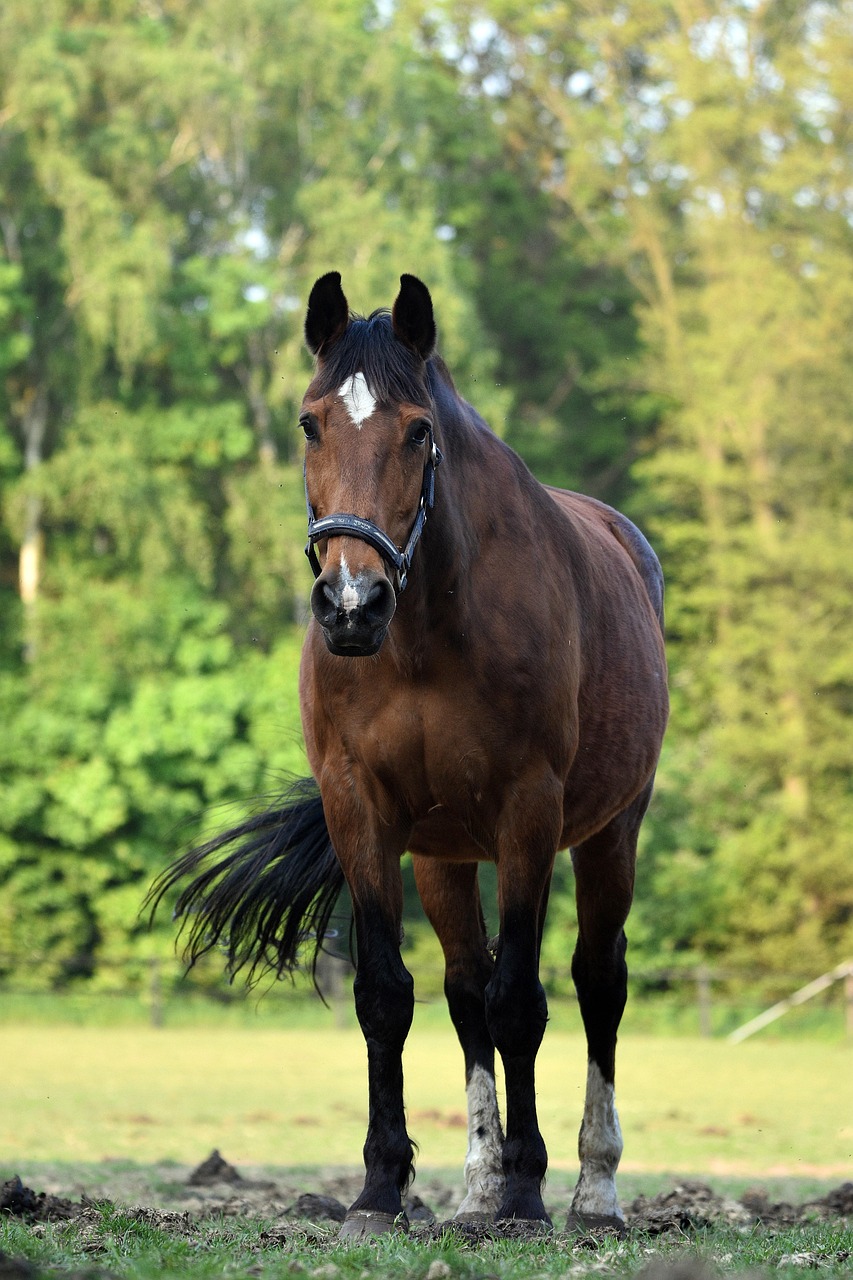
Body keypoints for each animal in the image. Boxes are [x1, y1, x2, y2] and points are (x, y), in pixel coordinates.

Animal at [150, 272, 668, 1238]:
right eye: (310, 422)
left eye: (419, 429)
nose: (351, 603)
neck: (426, 635)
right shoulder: (363, 812)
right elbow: (391, 996)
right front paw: (383, 1187)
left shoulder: (528, 813)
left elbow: (521, 1000)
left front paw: (527, 1192)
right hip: (444, 857)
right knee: (464, 991)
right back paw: (474, 1187)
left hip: (611, 830)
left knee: (595, 982)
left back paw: (593, 1189)